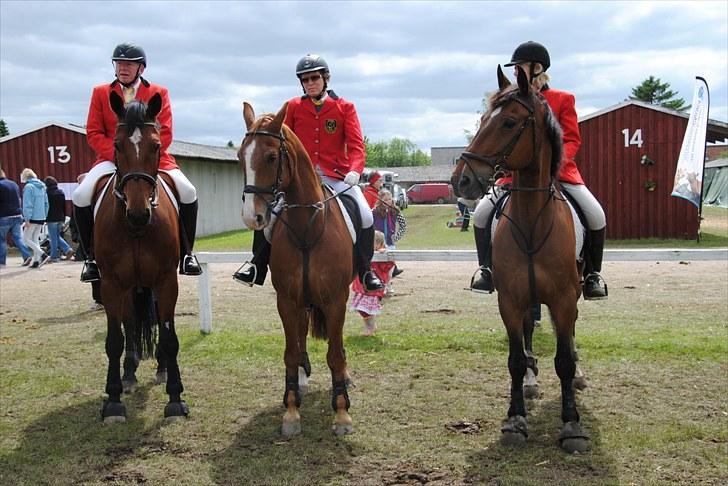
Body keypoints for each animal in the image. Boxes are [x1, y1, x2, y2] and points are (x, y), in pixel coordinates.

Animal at [94, 92, 189, 426]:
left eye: (157, 146)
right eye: (117, 145)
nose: (138, 215)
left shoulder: (166, 281)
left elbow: (170, 337)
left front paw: (175, 399)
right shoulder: (110, 285)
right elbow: (114, 340)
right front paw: (113, 400)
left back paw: (160, 368)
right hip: (126, 288)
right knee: (130, 323)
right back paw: (129, 373)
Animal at [237, 101, 354, 436]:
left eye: (271, 156)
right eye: (240, 156)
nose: (252, 217)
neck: (306, 228)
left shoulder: (335, 300)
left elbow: (335, 354)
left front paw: (342, 412)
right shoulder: (287, 300)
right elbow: (289, 353)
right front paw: (291, 410)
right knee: (301, 333)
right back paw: (301, 379)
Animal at [452, 66, 588, 454]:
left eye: (509, 123)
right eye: (483, 119)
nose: (461, 181)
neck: (531, 220)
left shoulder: (563, 299)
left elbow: (563, 360)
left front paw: (572, 424)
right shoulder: (510, 299)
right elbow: (514, 358)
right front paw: (515, 419)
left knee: (570, 335)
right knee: (528, 334)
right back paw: (530, 380)